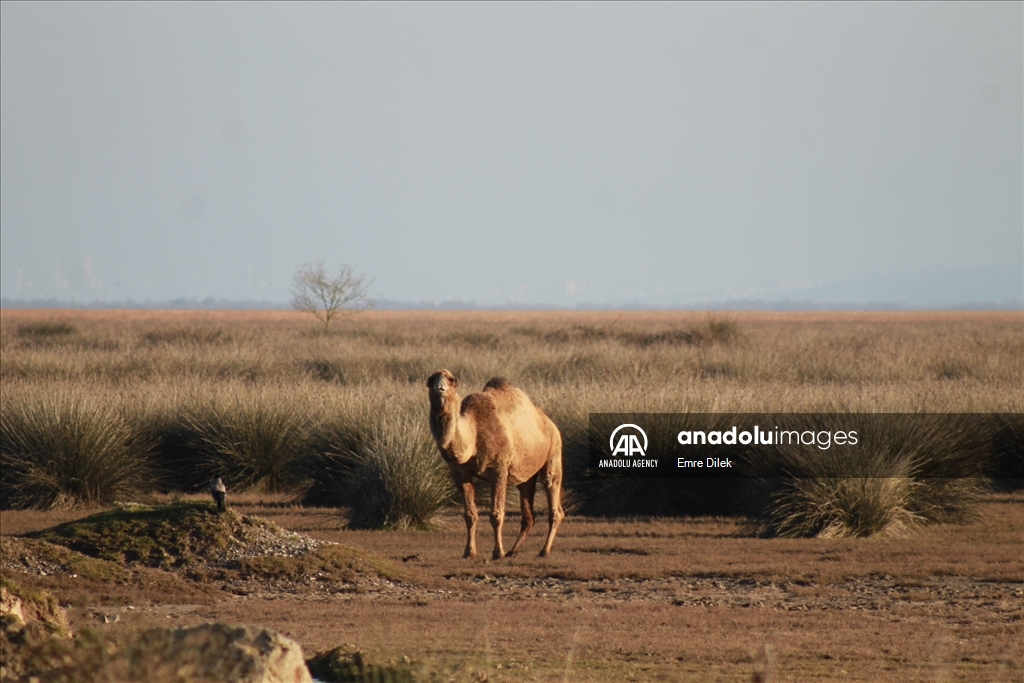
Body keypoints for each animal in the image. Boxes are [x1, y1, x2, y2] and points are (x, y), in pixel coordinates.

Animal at [425, 370, 565, 557]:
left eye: (451, 381)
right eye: (431, 380)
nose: (440, 388)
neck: (473, 435)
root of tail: (549, 422)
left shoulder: (498, 468)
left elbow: (496, 514)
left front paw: (498, 552)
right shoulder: (459, 472)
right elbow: (470, 515)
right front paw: (469, 552)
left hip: (554, 451)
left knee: (553, 496)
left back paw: (544, 550)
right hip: (525, 472)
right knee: (528, 511)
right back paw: (513, 550)